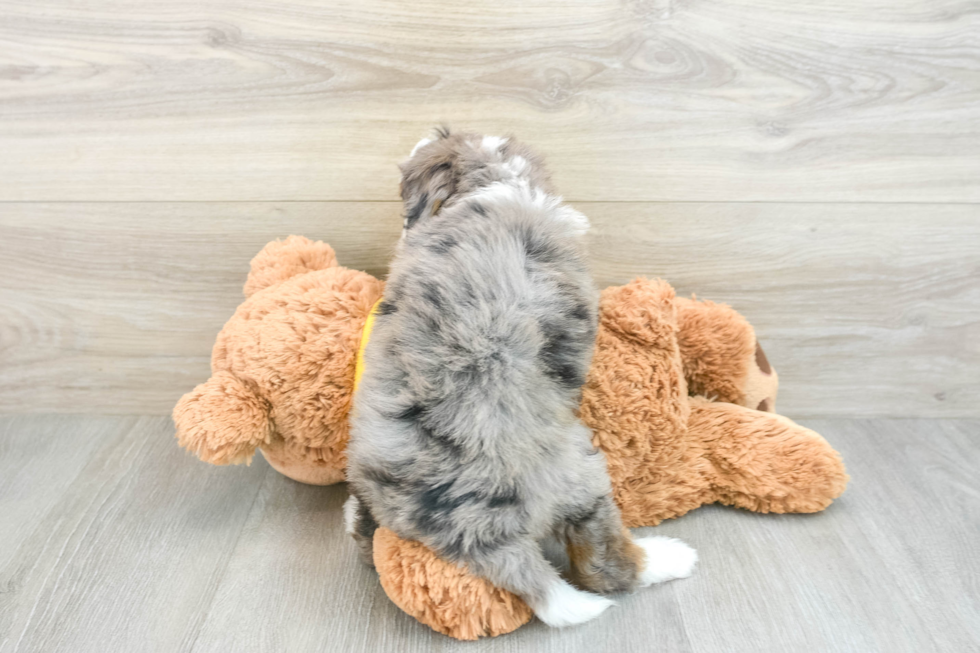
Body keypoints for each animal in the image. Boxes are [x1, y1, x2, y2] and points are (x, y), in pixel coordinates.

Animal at [344, 129, 696, 628]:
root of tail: (477, 531)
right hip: (584, 476)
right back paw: (669, 558)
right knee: (605, 567)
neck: (496, 182)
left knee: (365, 533)